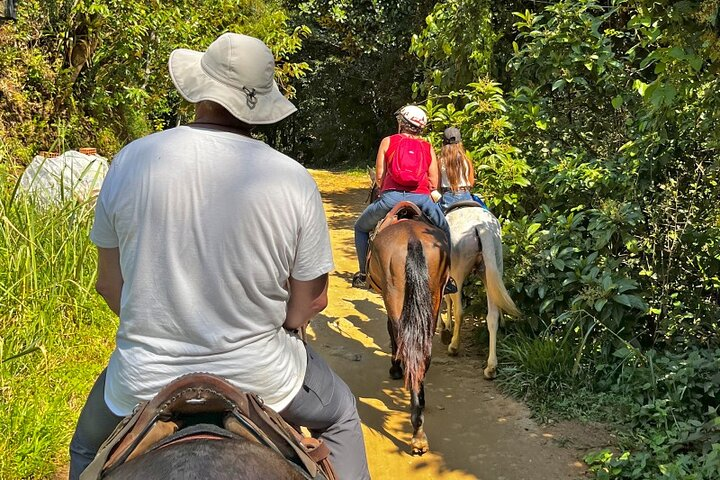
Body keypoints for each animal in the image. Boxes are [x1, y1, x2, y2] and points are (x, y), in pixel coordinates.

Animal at [366, 201, 450, 456]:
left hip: (394, 293)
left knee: (402, 338)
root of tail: (412, 238)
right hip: (434, 295)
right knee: (424, 352)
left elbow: (391, 332)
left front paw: (395, 369)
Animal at [442, 205, 520, 378]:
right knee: (492, 317)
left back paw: (454, 346)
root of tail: (482, 228)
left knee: (459, 311)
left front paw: (444, 326)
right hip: (492, 267)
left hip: (458, 271)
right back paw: (491, 367)